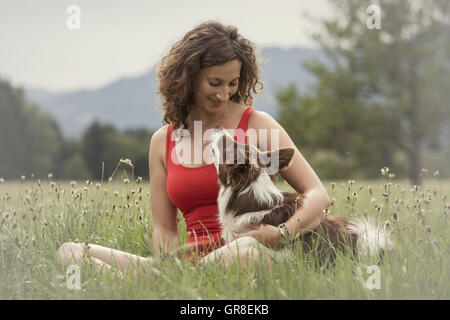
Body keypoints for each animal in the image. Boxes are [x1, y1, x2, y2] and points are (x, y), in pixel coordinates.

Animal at [209, 129, 392, 264]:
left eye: (227, 147)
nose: (217, 129)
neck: (251, 198)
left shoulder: (289, 253)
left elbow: (246, 240)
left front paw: (206, 260)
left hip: (365, 242)